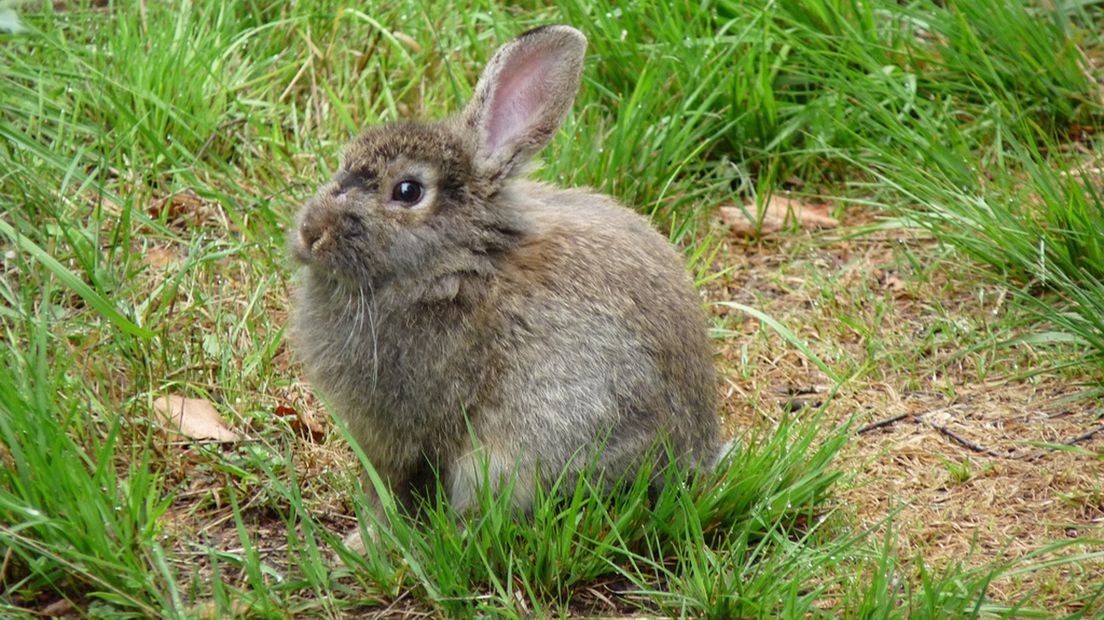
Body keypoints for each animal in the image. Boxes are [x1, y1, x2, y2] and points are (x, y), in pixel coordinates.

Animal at [287, 25, 724, 544]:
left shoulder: (406, 433)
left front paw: (366, 543)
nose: (310, 233)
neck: (456, 263)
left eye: (408, 191)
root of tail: (693, 461)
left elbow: (394, 491)